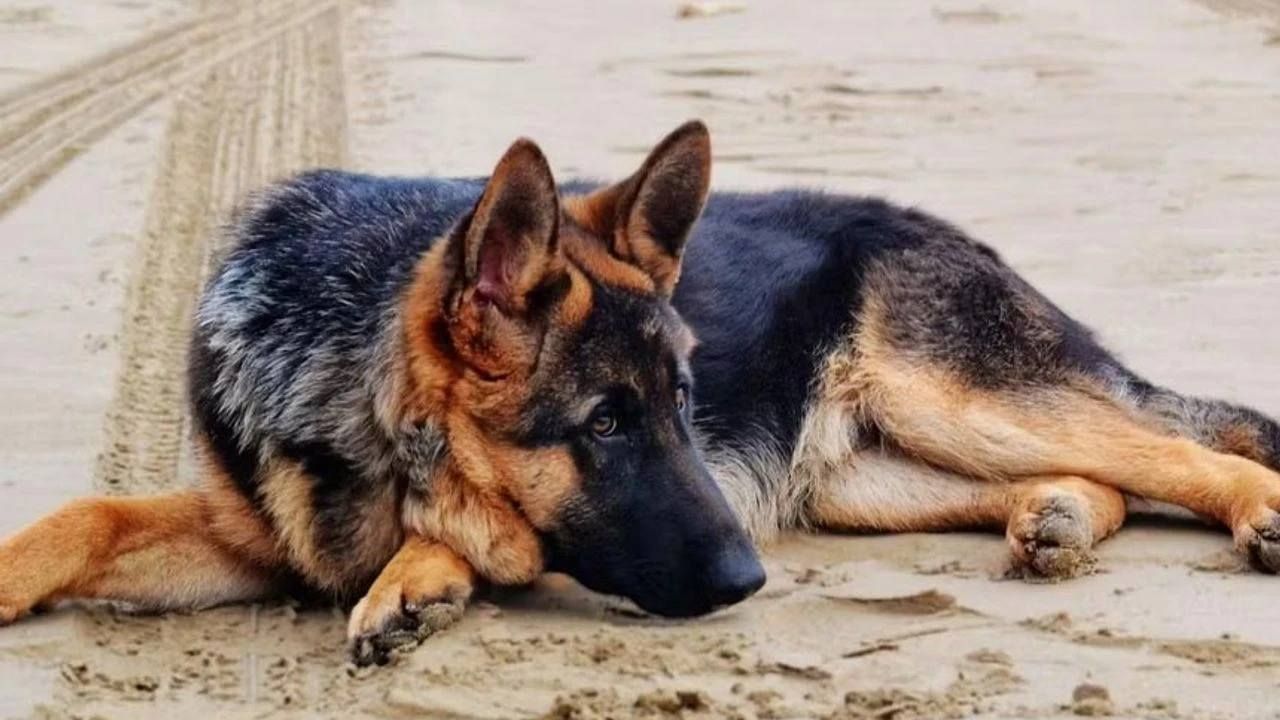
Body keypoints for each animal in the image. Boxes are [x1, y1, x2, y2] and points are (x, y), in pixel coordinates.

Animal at [2, 121, 1278, 666]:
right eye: (606, 421)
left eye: (678, 403)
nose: (748, 584)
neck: (347, 394)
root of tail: (940, 228)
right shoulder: (241, 534)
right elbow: (84, 516)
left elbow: (475, 525)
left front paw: (421, 574)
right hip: (867, 480)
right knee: (1100, 475)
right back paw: (1055, 517)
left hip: (955, 400)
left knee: (1184, 452)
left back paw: (1254, 514)